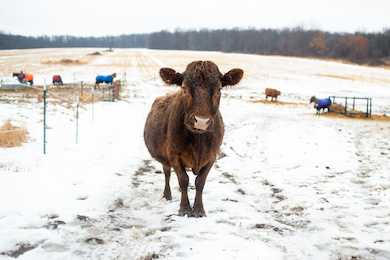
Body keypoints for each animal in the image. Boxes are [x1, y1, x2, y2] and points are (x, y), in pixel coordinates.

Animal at [143, 61, 244, 217]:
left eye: (219, 90)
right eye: (184, 88)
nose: (201, 121)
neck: (198, 142)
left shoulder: (212, 156)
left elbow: (200, 182)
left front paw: (199, 209)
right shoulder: (174, 155)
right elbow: (183, 180)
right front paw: (185, 208)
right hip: (165, 158)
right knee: (167, 173)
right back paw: (167, 194)